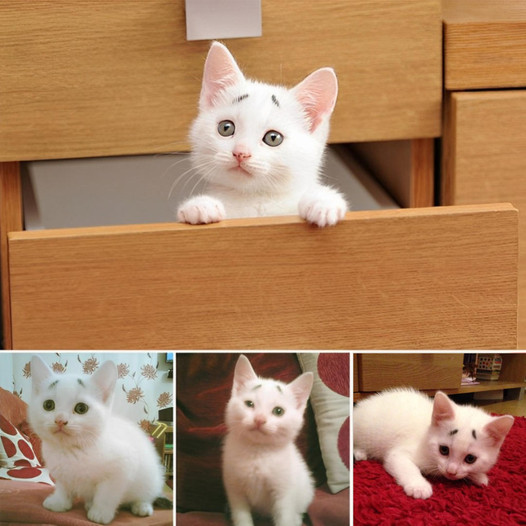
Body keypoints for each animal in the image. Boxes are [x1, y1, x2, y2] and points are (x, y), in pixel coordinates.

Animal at [27, 356, 167, 524]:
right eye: (48, 405)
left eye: (81, 408)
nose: (60, 420)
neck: (72, 450)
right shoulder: (61, 472)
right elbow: (63, 487)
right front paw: (59, 502)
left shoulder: (122, 468)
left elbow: (107, 494)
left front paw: (100, 513)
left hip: (151, 478)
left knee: (147, 495)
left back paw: (142, 506)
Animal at [178, 41, 350, 229]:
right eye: (226, 128)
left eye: (273, 138)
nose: (241, 153)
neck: (255, 199)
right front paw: (201, 206)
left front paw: (322, 202)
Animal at [222, 354, 314, 526]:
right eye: (249, 404)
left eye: (278, 411)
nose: (259, 419)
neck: (258, 452)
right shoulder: (235, 489)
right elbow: (241, 516)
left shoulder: (284, 493)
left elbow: (284, 517)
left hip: (305, 490)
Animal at [354, 390, 516, 502]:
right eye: (443, 450)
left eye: (470, 458)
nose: (451, 472)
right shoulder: (398, 454)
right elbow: (405, 465)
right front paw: (419, 486)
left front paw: (479, 476)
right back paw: (359, 452)